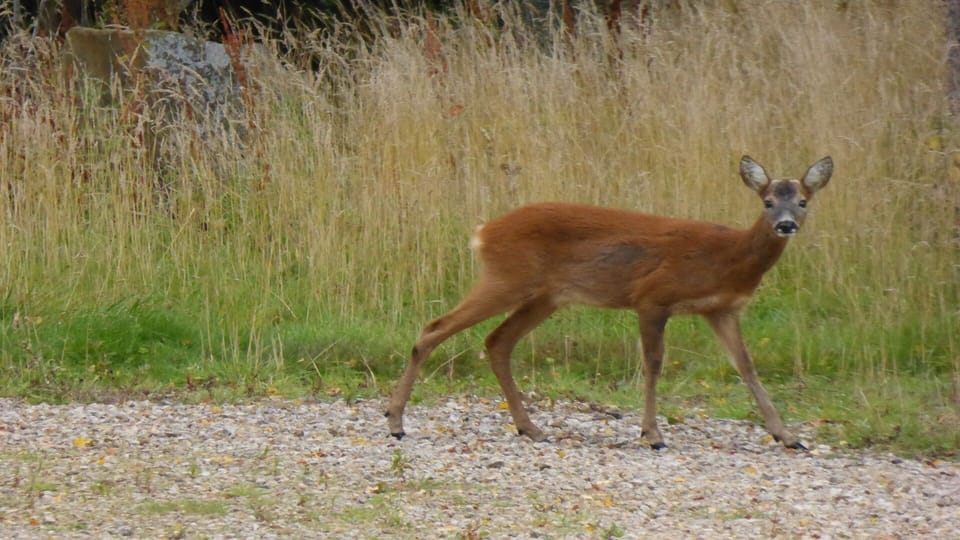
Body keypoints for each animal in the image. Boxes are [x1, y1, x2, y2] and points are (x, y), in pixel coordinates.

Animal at [386, 155, 833, 450]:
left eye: (803, 202)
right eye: (767, 201)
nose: (785, 225)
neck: (729, 258)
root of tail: (483, 232)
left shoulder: (721, 309)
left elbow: (746, 366)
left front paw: (787, 435)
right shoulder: (653, 297)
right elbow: (653, 363)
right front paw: (653, 435)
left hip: (545, 297)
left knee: (497, 342)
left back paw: (530, 428)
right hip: (507, 279)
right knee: (435, 328)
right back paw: (395, 423)